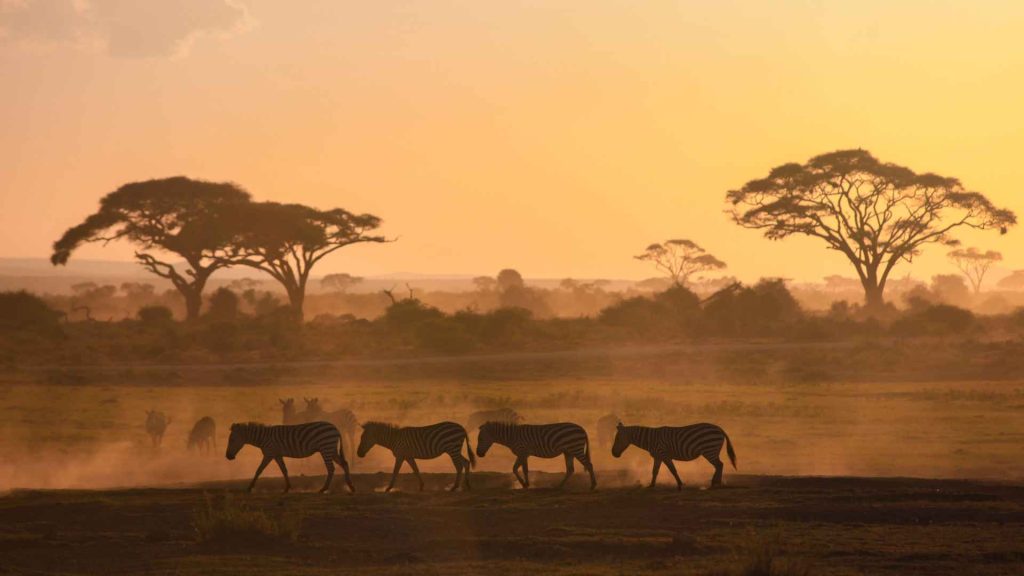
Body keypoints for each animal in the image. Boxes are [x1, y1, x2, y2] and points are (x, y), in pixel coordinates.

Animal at [226, 416, 354, 494]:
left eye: (232, 440)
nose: (228, 456)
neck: (263, 438)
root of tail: (335, 428)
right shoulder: (277, 455)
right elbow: (284, 470)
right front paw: (287, 488)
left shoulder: (269, 453)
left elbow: (259, 470)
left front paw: (249, 487)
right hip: (331, 449)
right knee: (345, 463)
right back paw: (350, 486)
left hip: (326, 448)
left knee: (331, 468)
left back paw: (324, 489)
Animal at [606, 420, 737, 485]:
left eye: (617, 439)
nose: (613, 454)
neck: (651, 440)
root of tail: (719, 429)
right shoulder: (658, 457)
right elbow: (655, 471)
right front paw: (651, 485)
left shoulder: (664, 454)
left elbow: (672, 470)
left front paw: (679, 484)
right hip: (711, 451)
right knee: (719, 465)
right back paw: (715, 482)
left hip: (709, 450)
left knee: (719, 465)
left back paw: (716, 483)